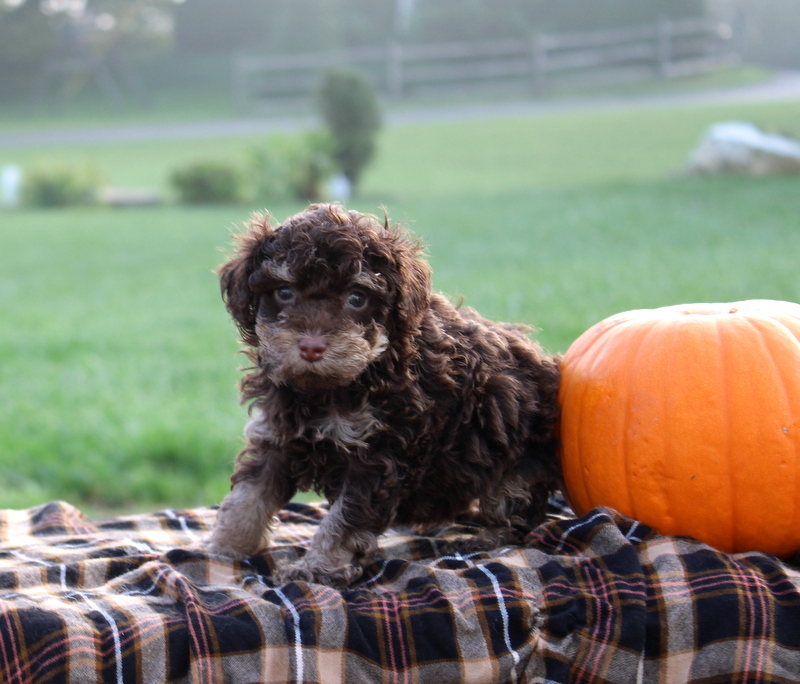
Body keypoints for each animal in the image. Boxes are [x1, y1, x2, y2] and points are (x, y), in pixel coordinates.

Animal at [208, 202, 564, 584]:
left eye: (357, 297)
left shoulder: (380, 453)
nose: (311, 347)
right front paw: (224, 547)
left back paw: (484, 537)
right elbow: (249, 496)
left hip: (518, 464)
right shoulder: (277, 432)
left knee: (518, 513)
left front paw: (317, 567)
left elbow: (344, 519)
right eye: (284, 292)